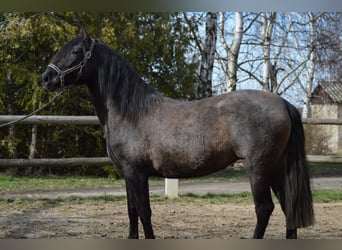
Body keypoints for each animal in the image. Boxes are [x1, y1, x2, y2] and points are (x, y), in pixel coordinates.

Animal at [41, 28, 314, 239]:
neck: (131, 112)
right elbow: (131, 212)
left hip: (259, 168)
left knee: (264, 209)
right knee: (287, 206)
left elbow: (144, 212)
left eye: (76, 51)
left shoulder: (136, 173)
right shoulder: (128, 174)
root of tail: (283, 103)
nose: (46, 78)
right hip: (277, 167)